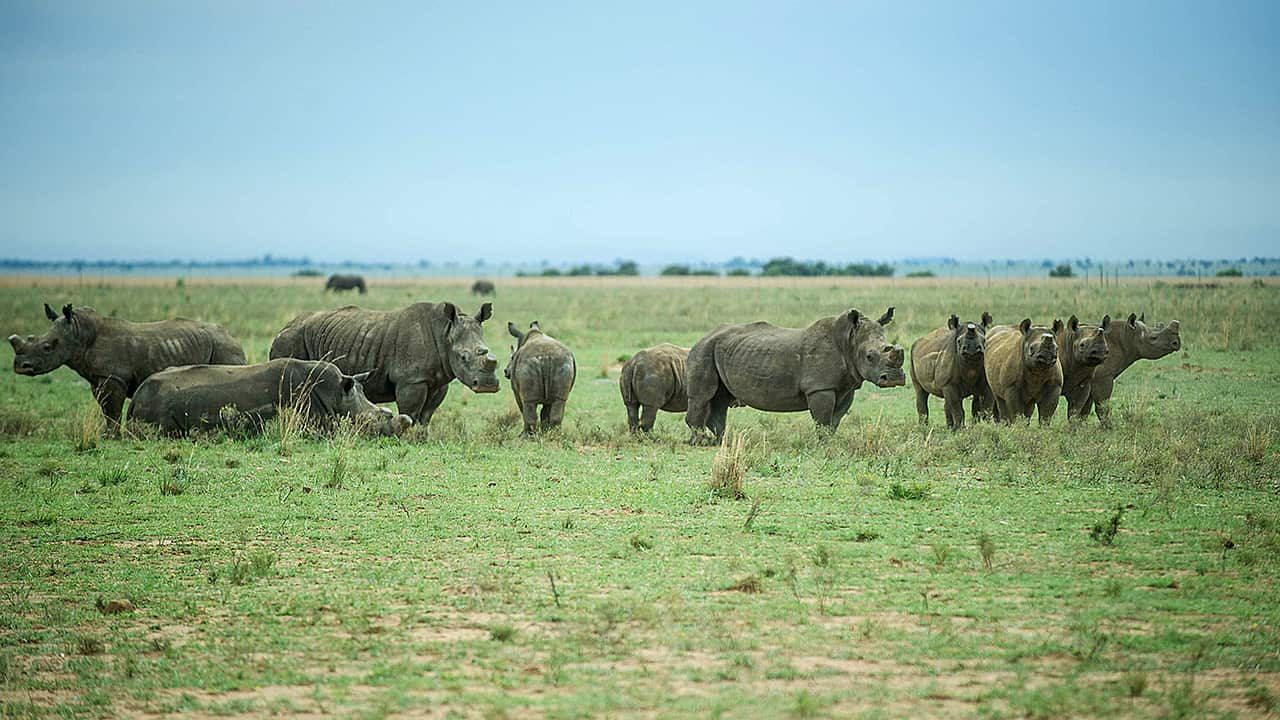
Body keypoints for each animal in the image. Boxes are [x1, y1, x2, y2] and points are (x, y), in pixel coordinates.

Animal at [8, 303, 246, 431]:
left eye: (47, 347)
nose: (20, 367)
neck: (78, 335)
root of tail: (232, 336)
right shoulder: (98, 378)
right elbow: (105, 409)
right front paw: (108, 435)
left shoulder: (114, 377)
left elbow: (112, 410)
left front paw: (113, 437)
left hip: (223, 347)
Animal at [269, 302, 498, 428]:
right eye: (463, 357)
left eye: (487, 351)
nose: (487, 386)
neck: (445, 333)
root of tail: (283, 327)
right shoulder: (411, 380)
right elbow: (410, 411)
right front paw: (408, 437)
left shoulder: (439, 380)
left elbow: (426, 415)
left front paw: (422, 438)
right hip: (290, 340)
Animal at [684, 307, 905, 443]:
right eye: (869, 356)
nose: (894, 379)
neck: (849, 341)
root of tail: (703, 336)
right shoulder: (820, 387)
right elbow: (822, 420)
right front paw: (822, 446)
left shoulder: (846, 387)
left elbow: (835, 420)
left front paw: (830, 443)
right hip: (704, 350)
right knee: (702, 396)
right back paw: (700, 442)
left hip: (718, 348)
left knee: (720, 398)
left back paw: (721, 440)